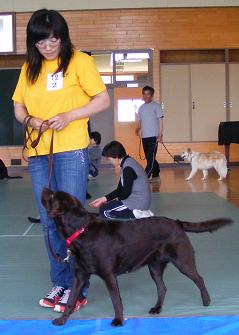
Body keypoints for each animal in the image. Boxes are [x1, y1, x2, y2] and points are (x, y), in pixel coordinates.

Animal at [42, 189, 232, 328]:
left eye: (52, 195)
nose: (45, 187)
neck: (81, 229)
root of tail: (177, 222)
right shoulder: (79, 275)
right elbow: (71, 299)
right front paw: (62, 320)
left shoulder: (109, 275)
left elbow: (116, 300)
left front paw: (118, 320)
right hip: (154, 267)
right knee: (162, 288)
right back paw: (157, 308)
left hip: (183, 261)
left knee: (199, 278)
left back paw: (206, 300)